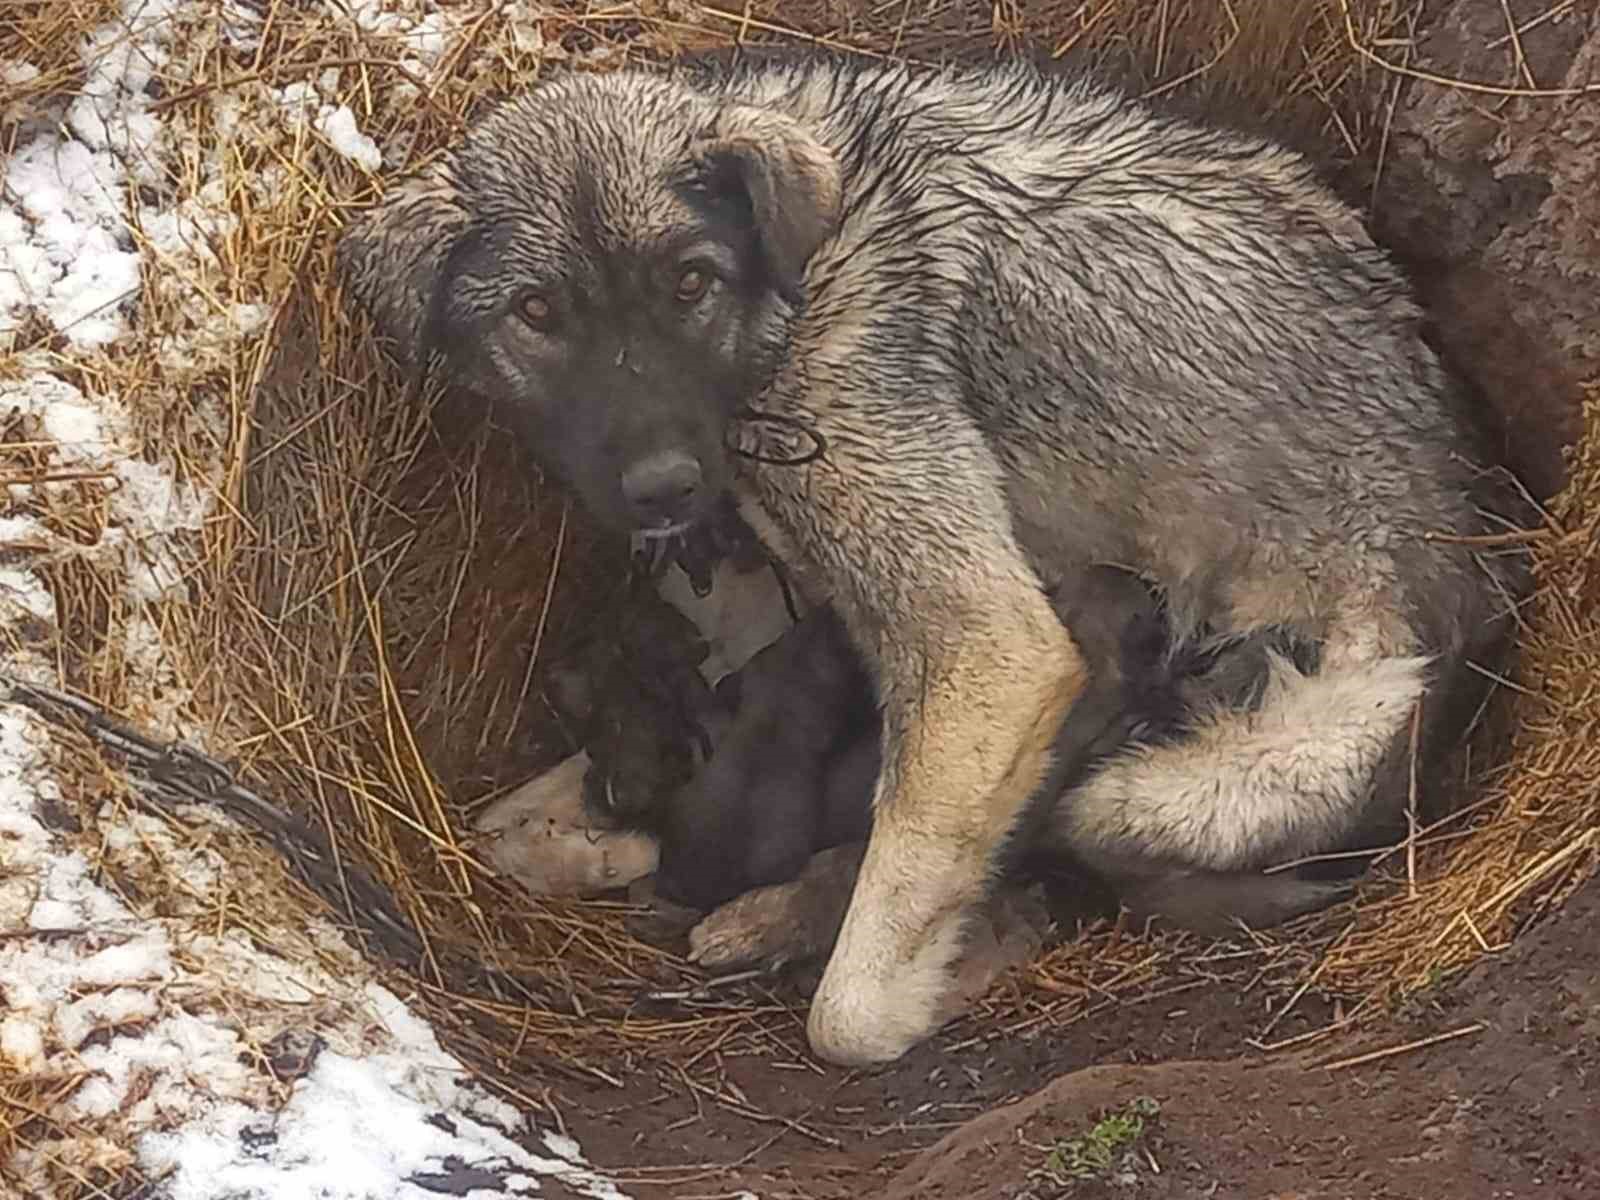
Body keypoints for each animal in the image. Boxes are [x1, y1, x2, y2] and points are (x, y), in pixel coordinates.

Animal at [337, 51, 1523, 1068]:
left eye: (688, 283)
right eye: (538, 312)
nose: (667, 489)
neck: (794, 286)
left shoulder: (981, 635)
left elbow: (851, 1007)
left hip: (1195, 775)